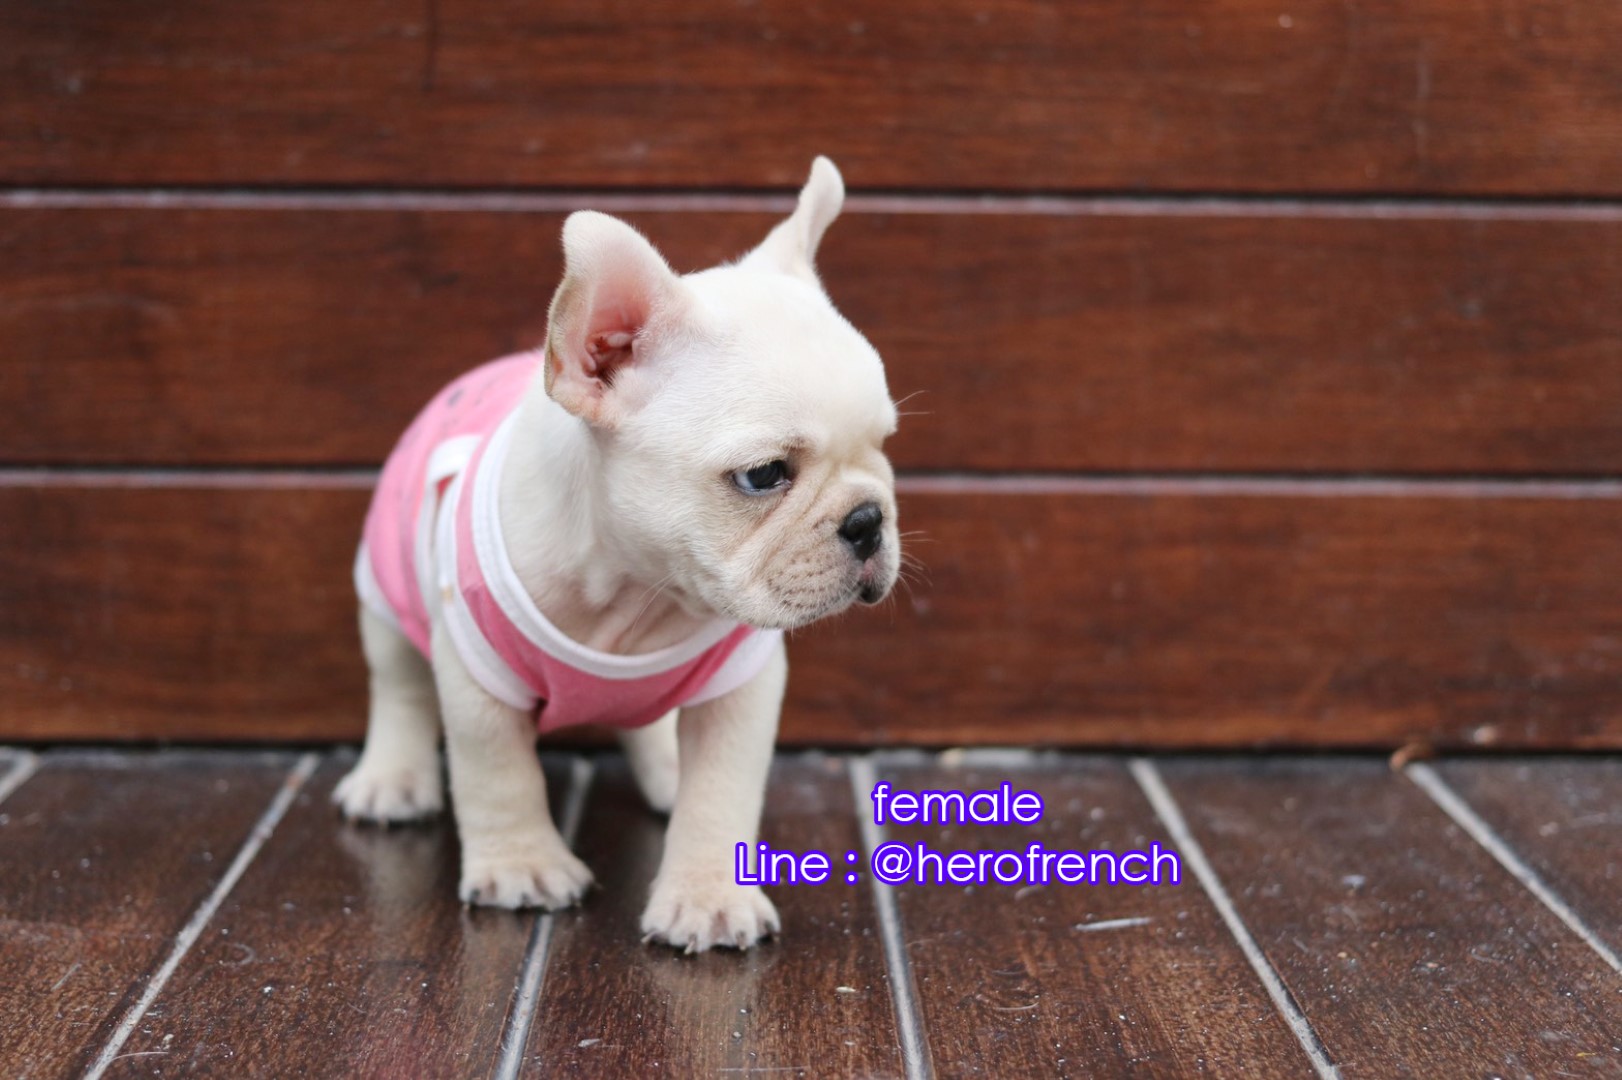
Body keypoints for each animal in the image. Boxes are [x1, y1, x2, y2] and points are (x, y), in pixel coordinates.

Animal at [335, 157, 900, 953]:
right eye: (764, 475)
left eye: (883, 446)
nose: (868, 520)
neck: (638, 589)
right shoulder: (476, 676)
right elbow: (496, 773)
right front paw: (522, 868)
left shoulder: (741, 688)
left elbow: (720, 791)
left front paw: (708, 895)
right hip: (384, 596)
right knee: (399, 687)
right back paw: (391, 780)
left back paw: (665, 770)